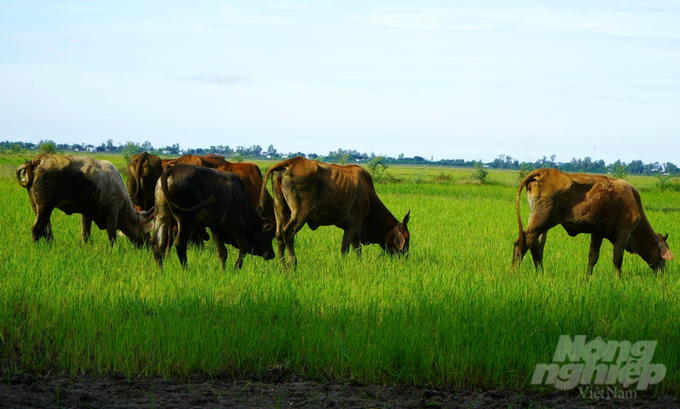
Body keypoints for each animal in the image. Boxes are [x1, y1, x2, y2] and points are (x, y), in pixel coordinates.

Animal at [15, 154, 154, 245]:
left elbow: (85, 234)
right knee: (37, 229)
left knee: (46, 229)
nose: (148, 244)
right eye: (147, 232)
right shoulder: (112, 213)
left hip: (37, 206)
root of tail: (35, 161)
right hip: (46, 206)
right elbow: (112, 237)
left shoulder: (87, 213)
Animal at [258, 155, 410, 264]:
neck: (368, 194)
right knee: (288, 233)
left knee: (279, 235)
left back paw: (282, 266)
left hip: (280, 208)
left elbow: (357, 251)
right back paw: (292, 263)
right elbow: (345, 250)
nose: (405, 257)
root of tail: (291, 162)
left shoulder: (356, 231)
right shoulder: (353, 225)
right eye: (407, 238)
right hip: (301, 213)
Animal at [512, 167, 672, 276]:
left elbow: (592, 257)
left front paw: (587, 278)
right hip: (541, 221)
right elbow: (617, 259)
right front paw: (618, 280)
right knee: (522, 243)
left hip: (542, 224)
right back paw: (514, 273)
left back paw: (540, 274)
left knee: (537, 247)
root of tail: (545, 171)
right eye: (662, 258)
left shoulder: (597, 233)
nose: (663, 273)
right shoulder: (623, 233)